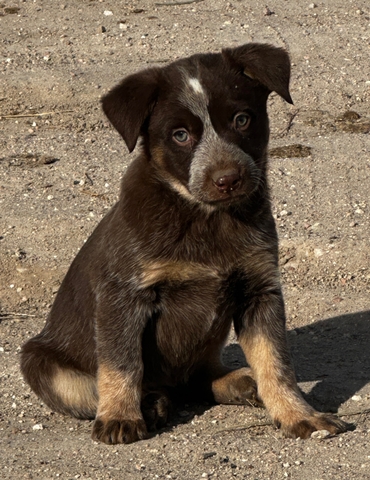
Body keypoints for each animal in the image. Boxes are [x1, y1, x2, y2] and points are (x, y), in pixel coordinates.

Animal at [20, 43, 350, 444]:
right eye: (180, 135)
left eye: (242, 119)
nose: (228, 179)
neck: (207, 218)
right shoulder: (123, 295)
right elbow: (121, 364)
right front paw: (119, 416)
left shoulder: (259, 289)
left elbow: (275, 362)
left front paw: (298, 414)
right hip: (39, 360)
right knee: (105, 385)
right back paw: (150, 402)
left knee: (197, 378)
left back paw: (238, 382)